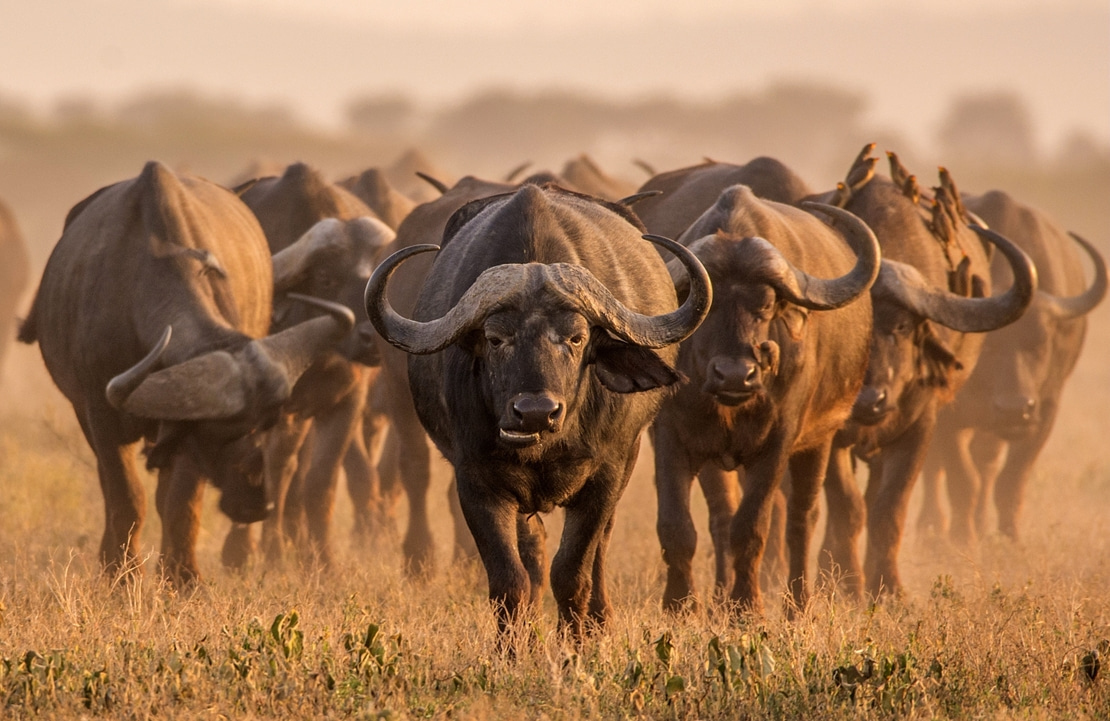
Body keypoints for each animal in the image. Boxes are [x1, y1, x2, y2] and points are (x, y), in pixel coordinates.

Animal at [19, 159, 352, 581]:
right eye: (219, 432)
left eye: (265, 424)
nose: (257, 503)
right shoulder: (101, 414)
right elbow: (126, 496)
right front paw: (122, 574)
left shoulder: (181, 438)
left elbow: (180, 502)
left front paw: (182, 577)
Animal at [364, 183, 710, 630]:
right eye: (495, 338)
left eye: (577, 337)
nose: (535, 411)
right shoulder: (476, 482)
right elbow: (510, 579)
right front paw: (514, 643)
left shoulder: (604, 476)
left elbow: (573, 572)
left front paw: (576, 640)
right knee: (533, 551)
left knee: (599, 548)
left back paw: (599, 618)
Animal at [648, 184, 883, 612]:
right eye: (704, 306)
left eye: (767, 304)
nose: (735, 374)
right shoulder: (670, 436)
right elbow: (677, 526)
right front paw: (680, 605)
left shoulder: (777, 443)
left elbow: (752, 525)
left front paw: (747, 607)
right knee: (721, 517)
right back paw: (719, 599)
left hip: (820, 441)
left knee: (802, 518)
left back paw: (797, 604)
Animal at [914, 190, 1105, 545]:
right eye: (988, 345)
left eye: (1041, 343)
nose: (1015, 408)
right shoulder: (947, 414)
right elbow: (961, 477)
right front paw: (962, 537)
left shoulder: (1045, 412)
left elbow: (1010, 480)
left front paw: (1009, 536)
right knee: (936, 469)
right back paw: (931, 525)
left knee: (986, 462)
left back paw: (981, 522)